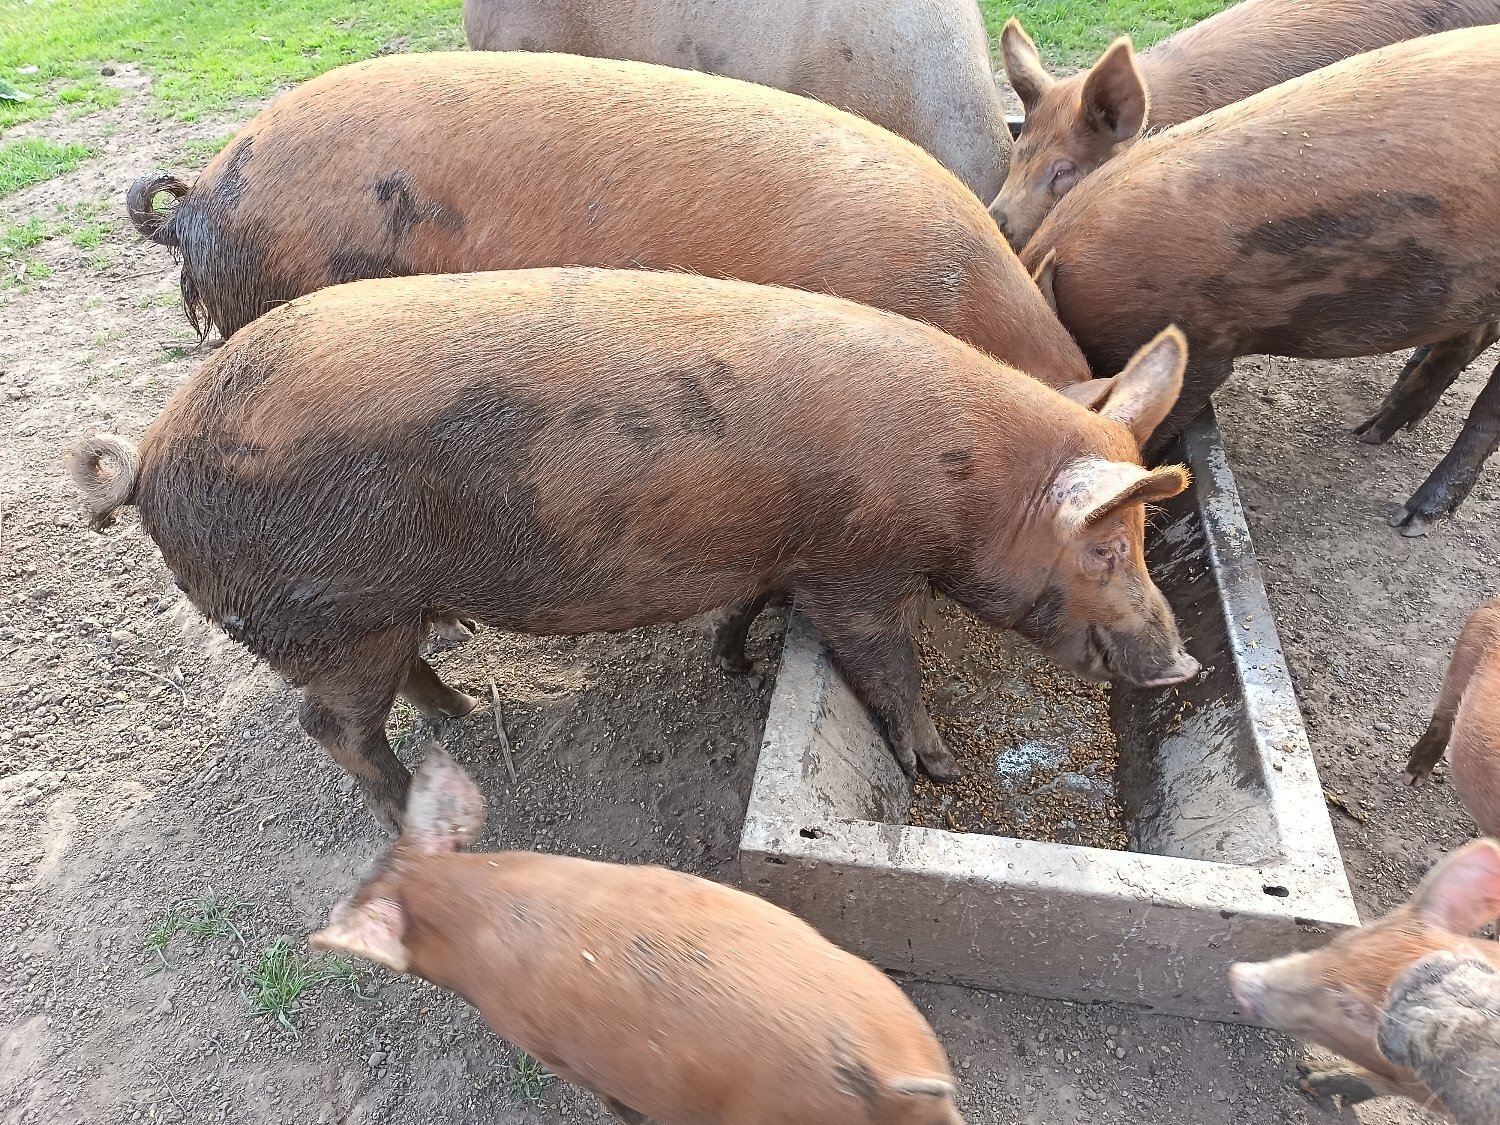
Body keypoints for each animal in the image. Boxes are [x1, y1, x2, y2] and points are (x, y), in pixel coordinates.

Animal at [66, 267, 1198, 832]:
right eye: (1106, 549)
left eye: (1142, 539)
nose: (1182, 661)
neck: (969, 486)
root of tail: (152, 451)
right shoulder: (859, 569)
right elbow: (888, 663)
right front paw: (939, 767)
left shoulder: (783, 556)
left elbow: (751, 607)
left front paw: (737, 667)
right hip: (339, 614)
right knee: (330, 727)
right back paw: (436, 824)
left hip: (374, 616)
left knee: (397, 684)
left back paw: (463, 711)